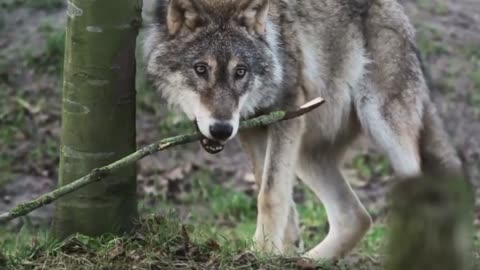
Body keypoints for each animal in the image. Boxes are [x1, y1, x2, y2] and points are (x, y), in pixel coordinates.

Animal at [142, 0, 462, 260]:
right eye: (200, 69)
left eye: (240, 72)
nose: (221, 129)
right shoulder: (251, 127)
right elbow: (274, 194)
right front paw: (275, 253)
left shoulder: (286, 110)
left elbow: (270, 195)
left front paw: (262, 252)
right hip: (308, 151)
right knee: (356, 217)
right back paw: (305, 262)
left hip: (382, 121)